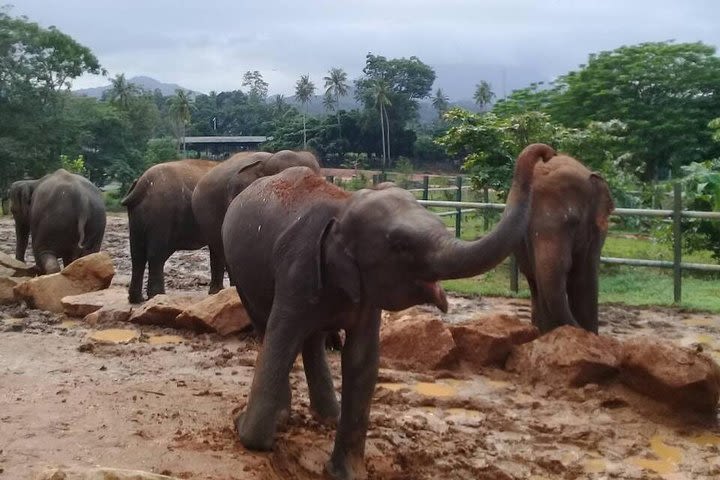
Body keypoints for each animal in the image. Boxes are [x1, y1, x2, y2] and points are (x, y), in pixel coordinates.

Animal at [122, 158, 218, 304]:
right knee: (156, 255)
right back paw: (157, 295)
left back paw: (137, 299)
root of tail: (143, 184)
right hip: (161, 214)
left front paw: (216, 292)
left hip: (136, 218)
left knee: (137, 255)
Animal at [222, 143, 556, 480]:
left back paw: (328, 416)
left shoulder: (366, 296)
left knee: (311, 340)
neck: (343, 206)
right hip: (242, 274)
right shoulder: (297, 271)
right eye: (399, 245)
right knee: (266, 326)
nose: (546, 153)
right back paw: (287, 415)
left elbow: (362, 359)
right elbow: (281, 342)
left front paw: (347, 473)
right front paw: (248, 435)